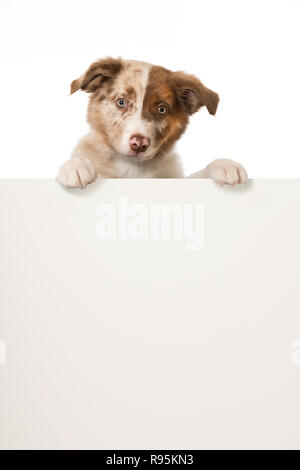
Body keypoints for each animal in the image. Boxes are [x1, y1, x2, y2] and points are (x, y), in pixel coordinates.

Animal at [57, 57, 247, 185]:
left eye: (161, 109)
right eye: (121, 102)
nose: (139, 144)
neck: (133, 169)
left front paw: (225, 165)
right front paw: (75, 166)